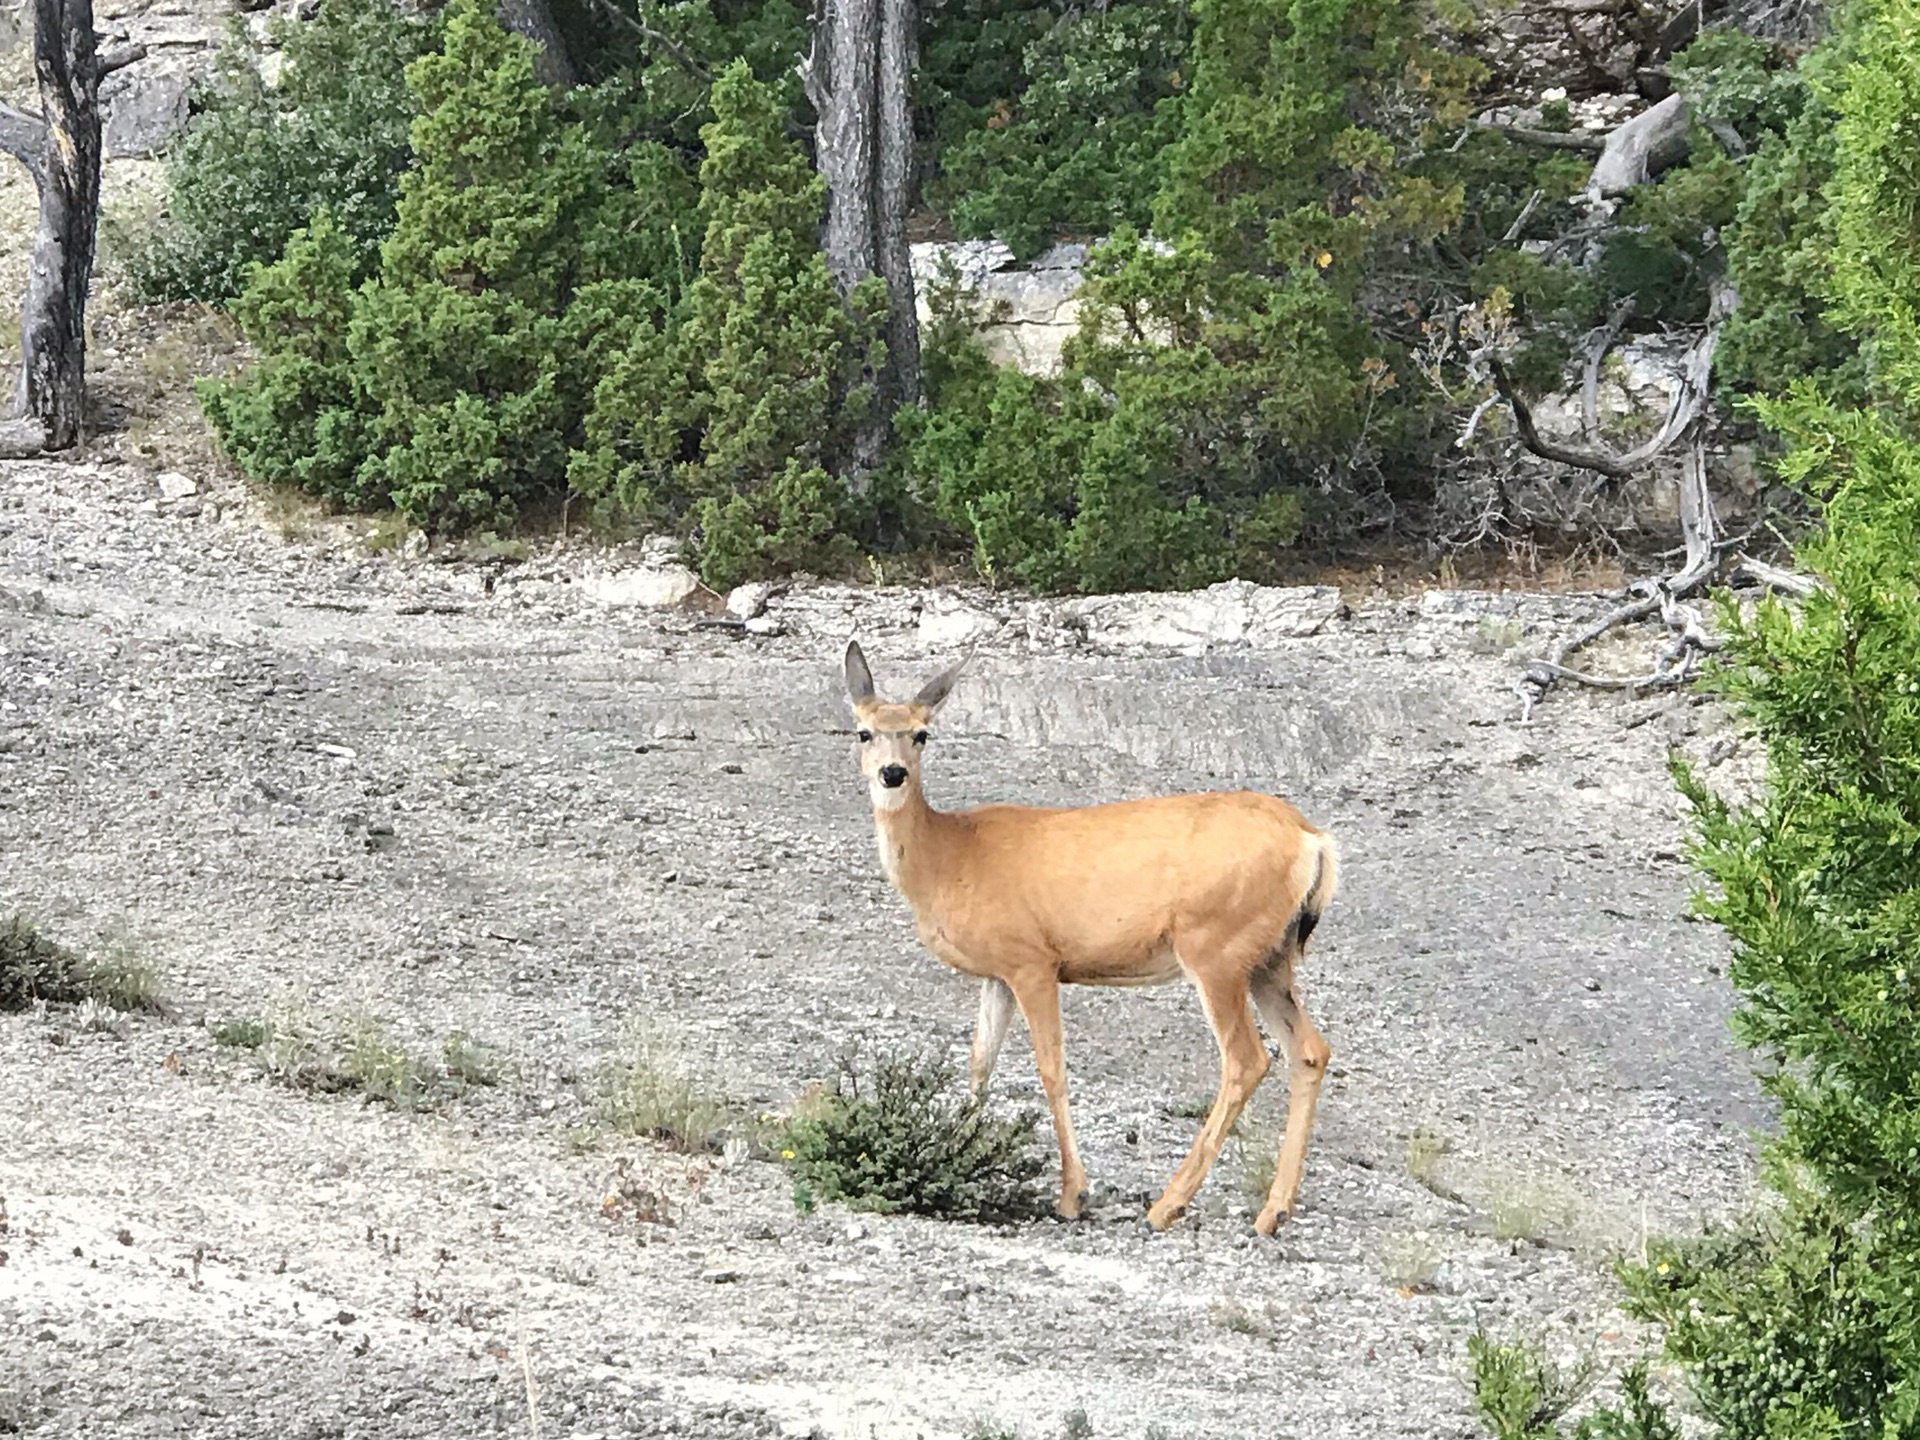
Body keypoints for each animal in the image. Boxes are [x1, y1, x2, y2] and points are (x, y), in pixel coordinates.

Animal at [840, 645, 1336, 1244]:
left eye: (921, 733)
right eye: (864, 731)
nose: (892, 774)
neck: (949, 858)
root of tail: (1312, 840)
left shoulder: (1033, 959)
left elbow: (1051, 1068)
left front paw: (1071, 1195)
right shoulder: (996, 973)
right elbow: (980, 1064)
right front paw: (958, 1154)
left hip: (1215, 947)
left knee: (1246, 1059)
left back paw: (1167, 1205)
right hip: (1270, 957)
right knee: (1309, 1051)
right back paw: (1272, 1212)